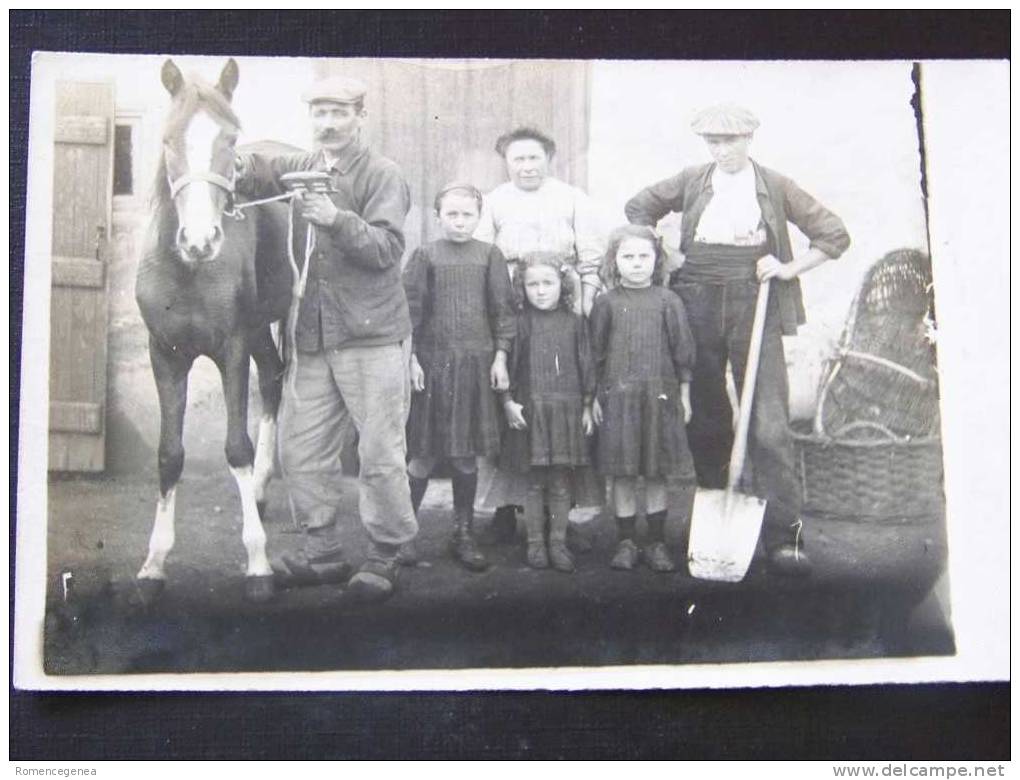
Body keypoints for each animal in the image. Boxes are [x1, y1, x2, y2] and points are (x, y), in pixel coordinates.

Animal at [133, 57, 293, 599]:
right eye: (168, 139)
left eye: (230, 139)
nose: (200, 240)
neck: (189, 272)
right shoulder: (165, 355)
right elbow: (168, 455)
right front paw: (154, 565)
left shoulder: (231, 350)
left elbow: (236, 447)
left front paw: (258, 563)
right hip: (261, 329)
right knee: (273, 377)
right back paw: (261, 492)